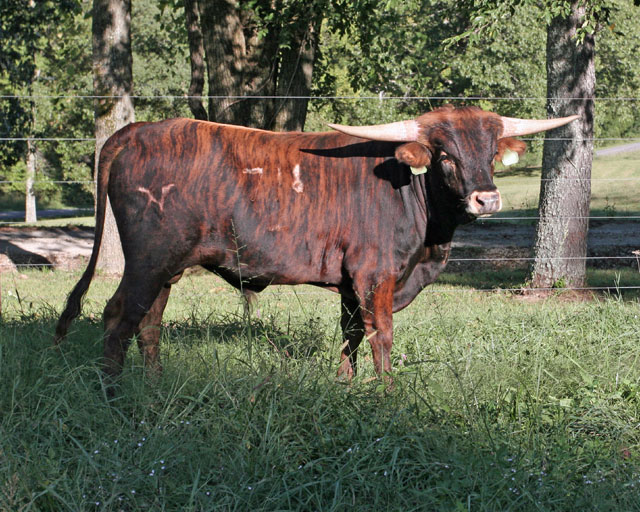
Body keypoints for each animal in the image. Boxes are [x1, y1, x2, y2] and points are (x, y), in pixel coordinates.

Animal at [53, 106, 576, 382]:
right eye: (445, 155)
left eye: (490, 153)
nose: (487, 198)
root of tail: (139, 129)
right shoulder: (374, 275)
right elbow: (382, 335)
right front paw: (388, 395)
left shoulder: (349, 284)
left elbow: (351, 334)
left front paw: (346, 385)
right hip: (147, 259)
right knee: (119, 316)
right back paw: (114, 396)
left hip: (168, 266)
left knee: (150, 323)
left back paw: (155, 386)